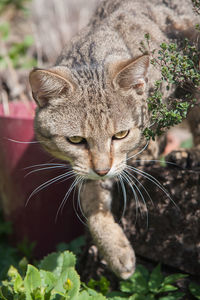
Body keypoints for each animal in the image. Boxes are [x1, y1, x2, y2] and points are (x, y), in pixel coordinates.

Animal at [28, 0, 199, 278]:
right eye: (76, 140)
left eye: (120, 135)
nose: (102, 169)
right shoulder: (89, 170)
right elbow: (91, 200)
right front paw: (116, 250)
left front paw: (148, 152)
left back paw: (188, 153)